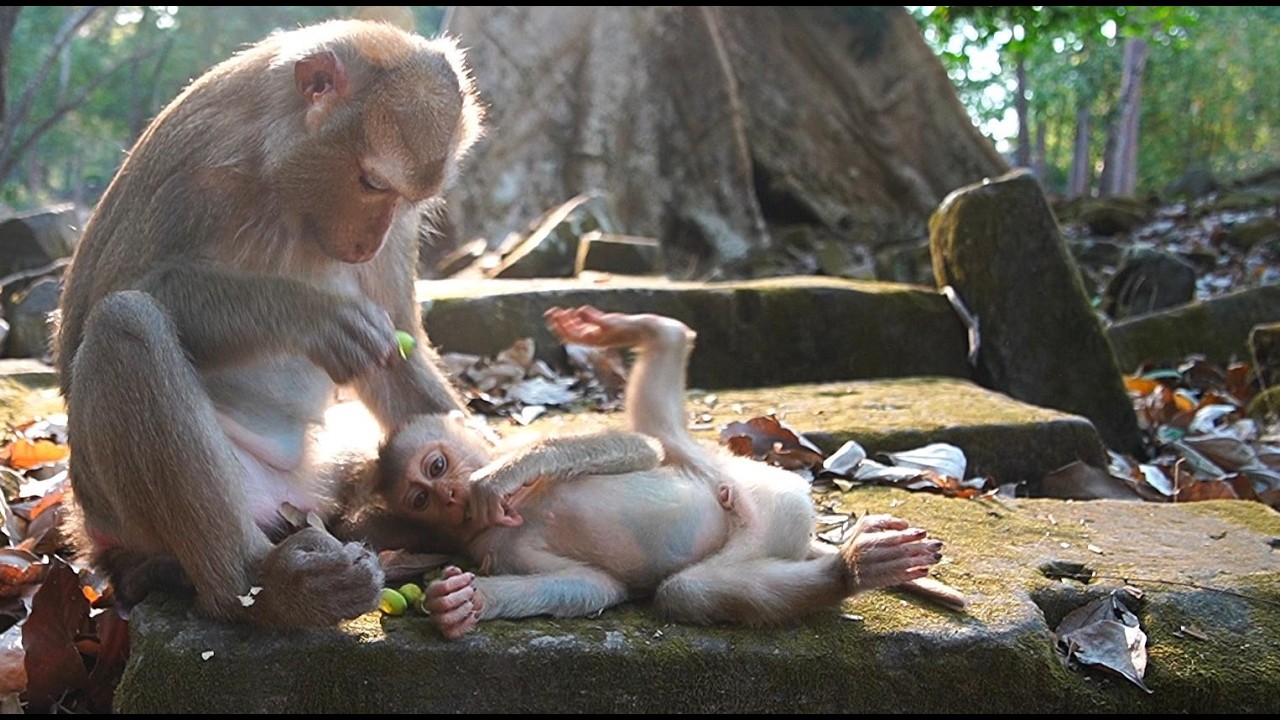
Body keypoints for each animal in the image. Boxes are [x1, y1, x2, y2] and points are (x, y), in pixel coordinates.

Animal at [52, 18, 484, 629]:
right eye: (371, 183)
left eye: (404, 200)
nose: (368, 244)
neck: (278, 178)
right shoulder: (199, 171)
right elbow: (99, 304)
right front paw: (311, 316)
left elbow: (398, 353)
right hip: (121, 508)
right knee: (123, 324)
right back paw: (261, 586)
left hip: (320, 480)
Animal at [365, 306, 967, 640]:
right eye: (420, 499)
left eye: (439, 466)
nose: (448, 493)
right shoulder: (496, 548)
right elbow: (593, 585)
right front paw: (457, 605)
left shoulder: (516, 450)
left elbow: (641, 449)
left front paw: (501, 476)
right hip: (748, 519)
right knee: (692, 591)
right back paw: (852, 570)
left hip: (719, 473)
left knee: (660, 446)